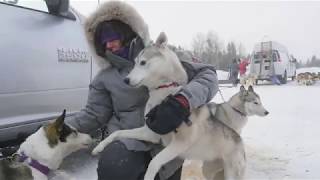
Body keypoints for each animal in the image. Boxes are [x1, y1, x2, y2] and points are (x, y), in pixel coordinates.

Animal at [91, 32, 268, 180]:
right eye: (134, 63)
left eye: (143, 62)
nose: (125, 80)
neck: (163, 93)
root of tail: (240, 141)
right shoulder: (151, 133)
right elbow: (118, 133)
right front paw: (99, 147)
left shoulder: (180, 144)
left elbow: (154, 162)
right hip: (209, 170)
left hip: (230, 173)